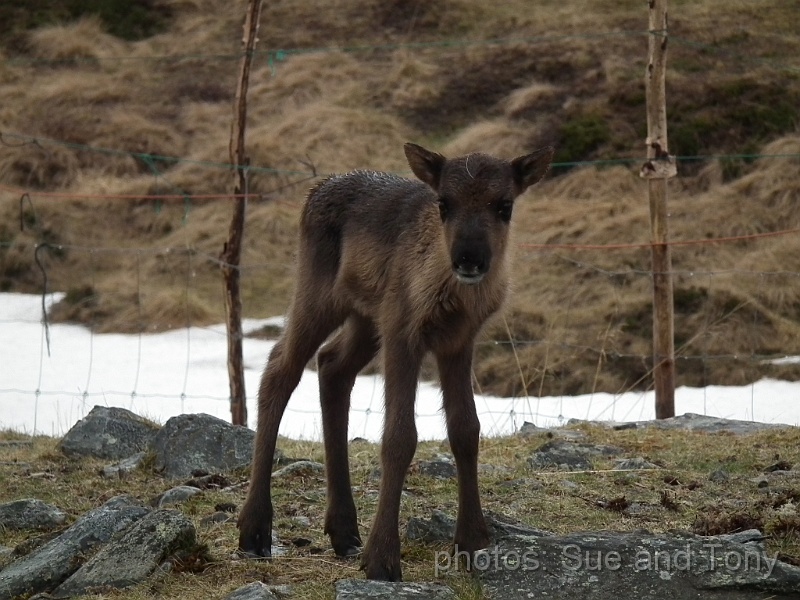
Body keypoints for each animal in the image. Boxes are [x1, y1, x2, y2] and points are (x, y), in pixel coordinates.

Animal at [237, 142, 554, 581]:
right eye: (444, 203)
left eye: (504, 205)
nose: (468, 259)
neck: (448, 293)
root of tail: (316, 189)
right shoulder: (402, 330)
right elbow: (400, 437)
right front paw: (383, 557)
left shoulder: (459, 341)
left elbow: (466, 430)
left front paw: (472, 540)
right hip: (320, 295)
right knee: (279, 370)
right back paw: (254, 528)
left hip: (366, 316)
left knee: (332, 365)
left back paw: (344, 530)